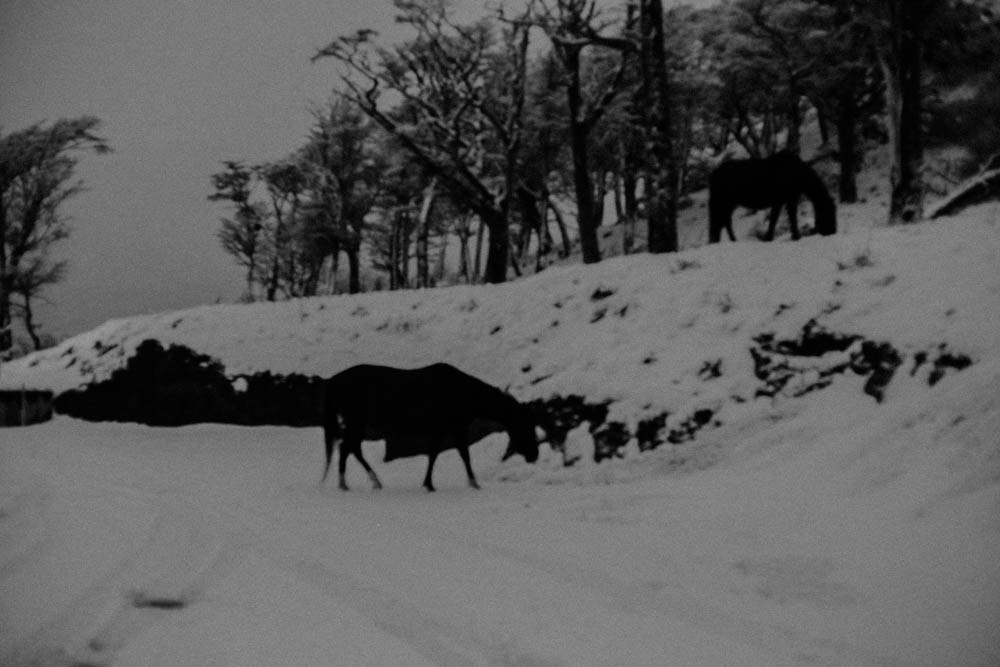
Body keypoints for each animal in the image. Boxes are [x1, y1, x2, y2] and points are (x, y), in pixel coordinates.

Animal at [320, 362, 540, 494]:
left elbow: (434, 453)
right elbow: (461, 454)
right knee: (348, 448)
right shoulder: (454, 428)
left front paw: (429, 483)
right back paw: (354, 483)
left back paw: (362, 482)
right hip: (357, 422)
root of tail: (332, 382)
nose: (534, 455)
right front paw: (473, 483)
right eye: (526, 427)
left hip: (357, 423)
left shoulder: (443, 429)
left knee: (349, 448)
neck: (465, 396)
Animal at [708, 151, 840, 243]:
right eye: (829, 212)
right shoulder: (786, 200)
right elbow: (785, 219)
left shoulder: (784, 201)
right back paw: (731, 240)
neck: (798, 173)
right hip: (724, 202)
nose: (832, 231)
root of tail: (714, 174)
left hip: (729, 204)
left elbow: (777, 219)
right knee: (723, 222)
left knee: (723, 222)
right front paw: (794, 237)